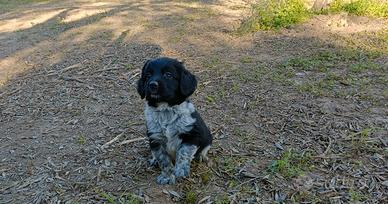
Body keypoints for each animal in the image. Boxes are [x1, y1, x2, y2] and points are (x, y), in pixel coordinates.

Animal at [137, 57, 212, 185]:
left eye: (168, 75)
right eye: (148, 76)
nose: (152, 85)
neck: (165, 109)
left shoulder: (192, 134)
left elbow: (183, 153)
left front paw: (180, 170)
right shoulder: (155, 138)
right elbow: (163, 160)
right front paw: (166, 176)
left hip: (207, 136)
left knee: (205, 147)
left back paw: (201, 156)